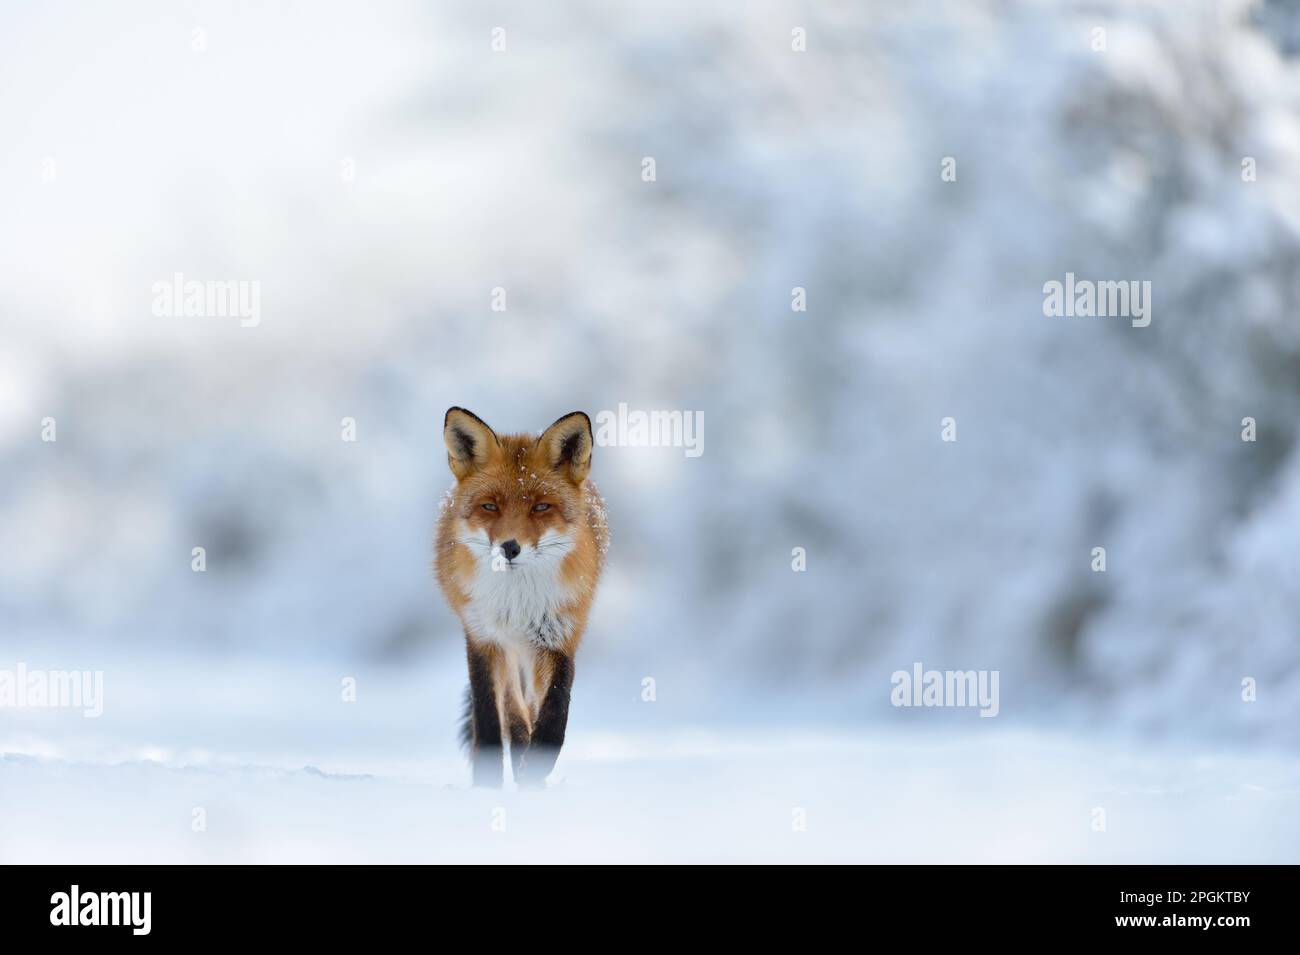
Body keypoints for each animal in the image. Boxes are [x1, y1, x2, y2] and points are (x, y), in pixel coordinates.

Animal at [431, 407, 603, 789]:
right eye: (490, 506)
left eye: (540, 507)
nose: (509, 548)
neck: (518, 601)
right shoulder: (483, 638)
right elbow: (490, 721)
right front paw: (488, 786)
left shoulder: (559, 634)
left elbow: (556, 708)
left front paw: (536, 766)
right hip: (507, 652)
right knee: (512, 710)